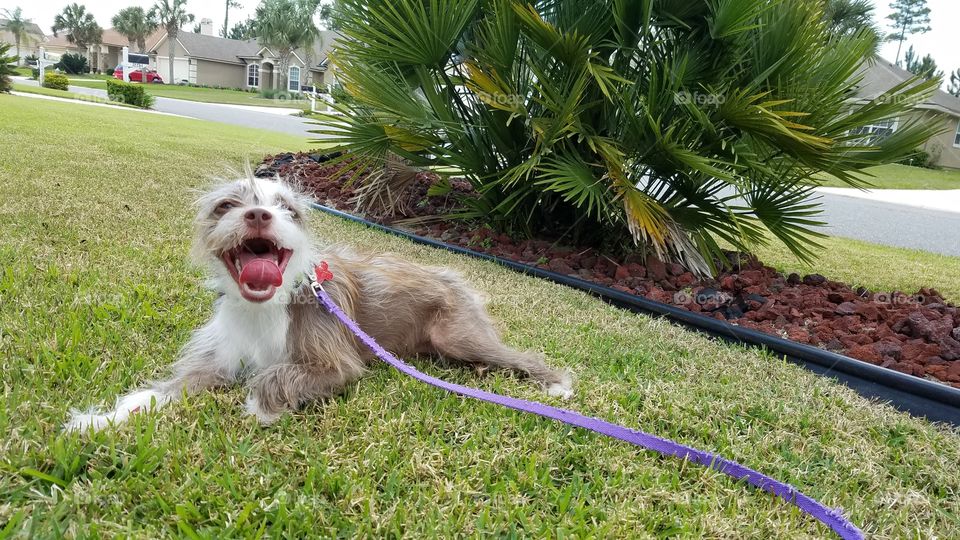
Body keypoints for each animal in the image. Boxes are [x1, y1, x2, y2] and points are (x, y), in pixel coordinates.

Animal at [69, 175, 576, 432]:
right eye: (227, 205)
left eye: (288, 209)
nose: (259, 214)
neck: (265, 307)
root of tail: (456, 275)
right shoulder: (216, 360)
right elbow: (167, 390)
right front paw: (102, 420)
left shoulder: (335, 362)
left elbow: (276, 375)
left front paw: (261, 405)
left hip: (458, 334)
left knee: (525, 357)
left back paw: (556, 385)